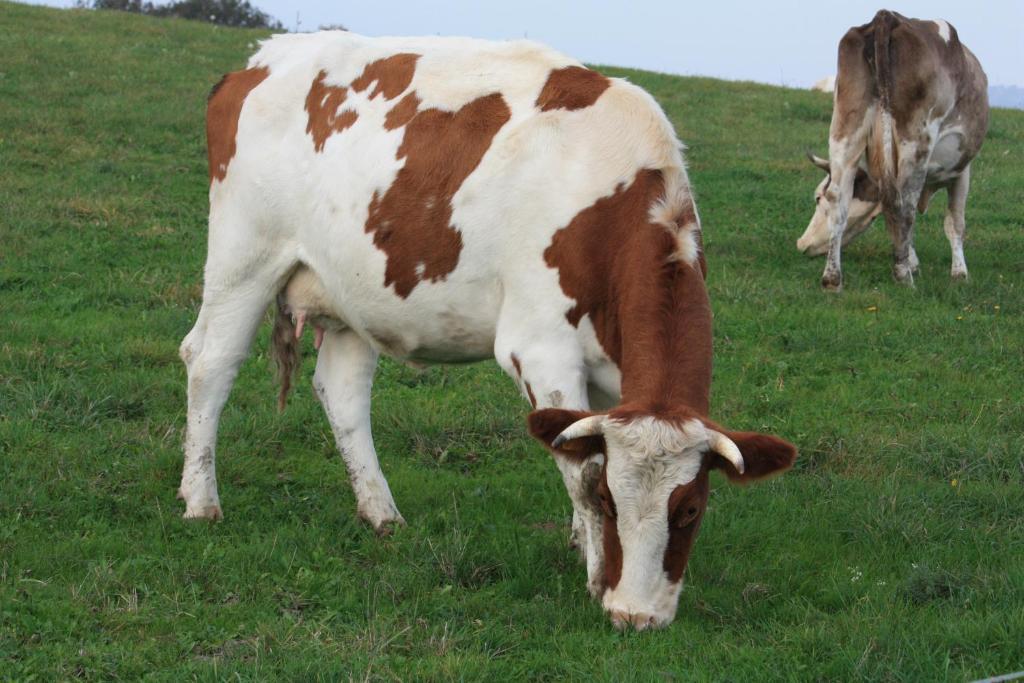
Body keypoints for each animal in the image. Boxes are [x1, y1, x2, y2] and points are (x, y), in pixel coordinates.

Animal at [180, 31, 794, 630]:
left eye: (691, 508)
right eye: (611, 500)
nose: (637, 617)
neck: (611, 195)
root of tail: (261, 58)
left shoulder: (616, 373)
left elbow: (580, 437)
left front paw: (582, 542)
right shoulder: (539, 349)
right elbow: (580, 462)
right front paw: (598, 572)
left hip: (352, 289)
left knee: (342, 392)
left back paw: (381, 513)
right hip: (244, 255)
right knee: (209, 361)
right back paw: (200, 501)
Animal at [794, 10, 987, 290]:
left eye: (817, 198)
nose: (801, 243)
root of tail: (887, 16)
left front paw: (913, 261)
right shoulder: (963, 169)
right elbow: (955, 222)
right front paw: (959, 274)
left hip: (846, 127)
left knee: (840, 196)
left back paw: (832, 279)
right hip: (916, 141)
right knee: (903, 203)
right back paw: (903, 278)